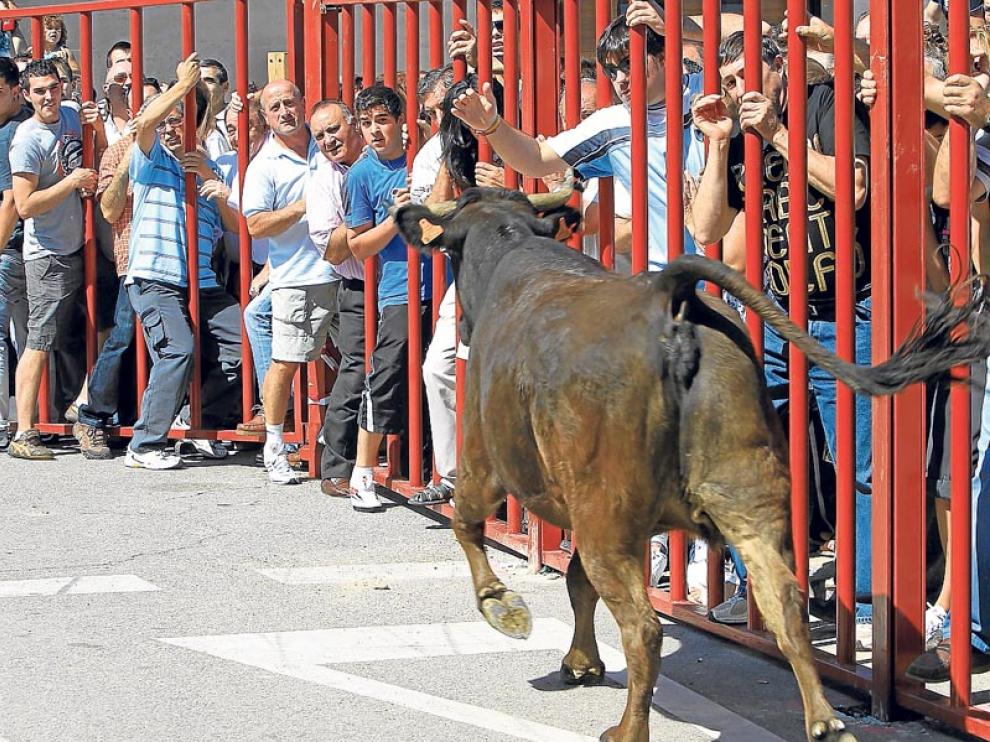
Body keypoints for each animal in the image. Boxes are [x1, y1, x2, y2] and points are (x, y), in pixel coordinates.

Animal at [396, 187, 990, 742]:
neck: (513, 251)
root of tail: (668, 293)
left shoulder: (487, 460)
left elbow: (470, 526)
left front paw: (504, 607)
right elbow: (576, 580)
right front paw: (581, 661)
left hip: (607, 515)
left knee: (643, 627)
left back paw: (627, 730)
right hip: (743, 497)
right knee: (783, 601)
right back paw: (824, 721)